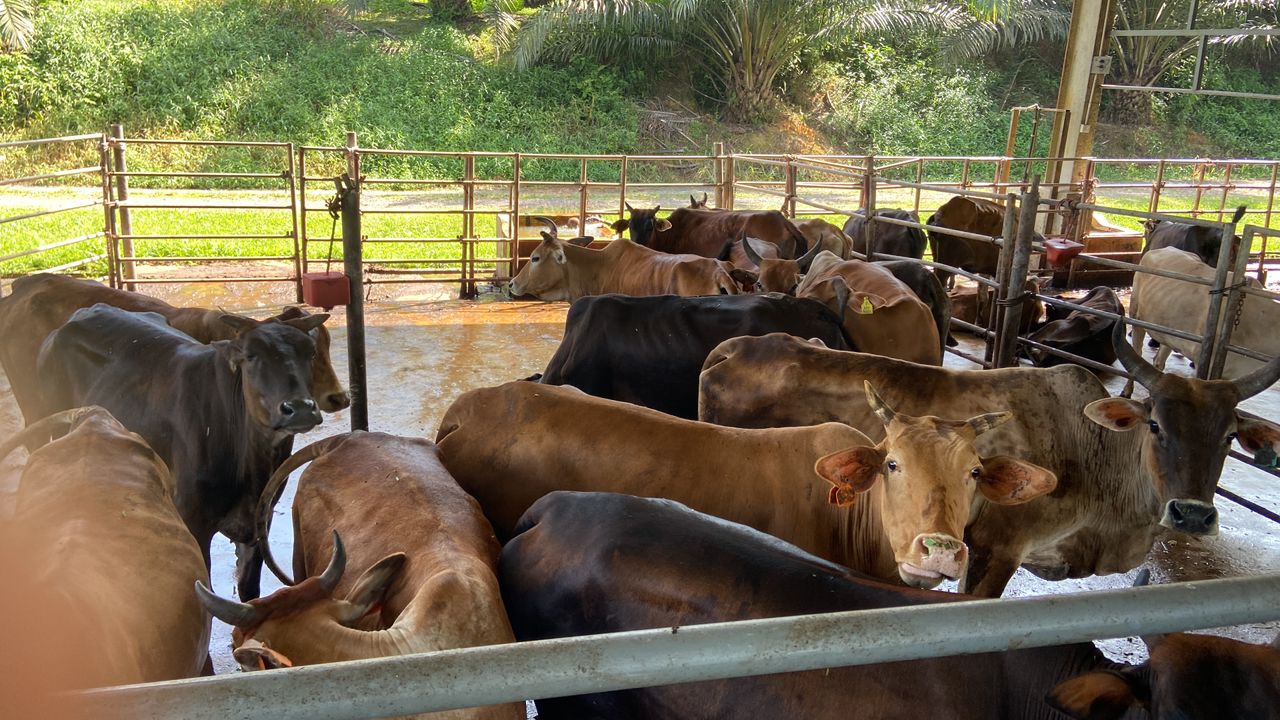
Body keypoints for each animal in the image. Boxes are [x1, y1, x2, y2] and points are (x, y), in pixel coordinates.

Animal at [35, 303, 328, 601]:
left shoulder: (259, 522)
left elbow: (250, 591)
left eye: (310, 352)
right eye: (251, 355)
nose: (299, 408)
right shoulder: (192, 519)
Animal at [1126, 247, 1278, 396]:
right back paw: (1127, 391)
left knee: (1159, 361)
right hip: (1136, 314)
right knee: (1137, 352)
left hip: (1168, 331)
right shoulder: (1203, 360)